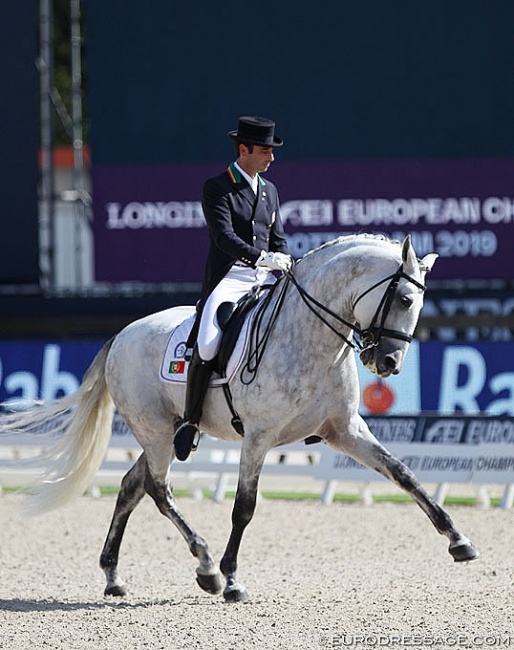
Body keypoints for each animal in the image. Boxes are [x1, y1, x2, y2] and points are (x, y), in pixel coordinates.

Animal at [2, 232, 478, 596]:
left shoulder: (344, 430)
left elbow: (403, 474)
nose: (389, 363)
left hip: (165, 432)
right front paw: (232, 578)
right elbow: (244, 507)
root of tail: (122, 334)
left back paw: (114, 576)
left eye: (417, 304)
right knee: (157, 488)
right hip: (154, 430)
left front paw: (458, 539)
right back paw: (207, 567)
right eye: (403, 299)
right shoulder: (259, 437)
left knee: (131, 486)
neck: (312, 341)